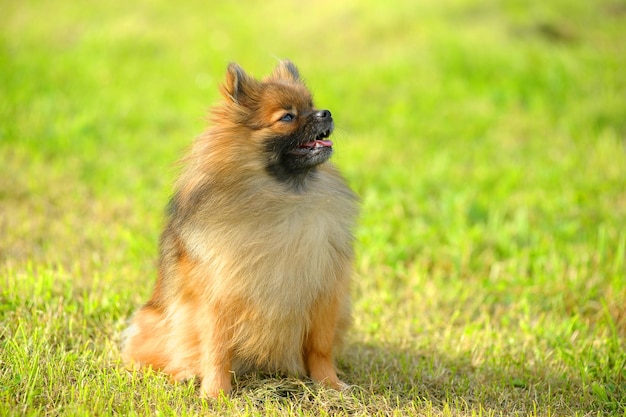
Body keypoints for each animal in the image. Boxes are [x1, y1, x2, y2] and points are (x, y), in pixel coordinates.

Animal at [122, 59, 356, 396]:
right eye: (288, 116)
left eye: (312, 106)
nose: (326, 113)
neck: (283, 198)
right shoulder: (218, 298)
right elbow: (217, 350)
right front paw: (215, 394)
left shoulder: (324, 292)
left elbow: (320, 348)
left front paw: (330, 384)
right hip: (153, 320)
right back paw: (182, 373)